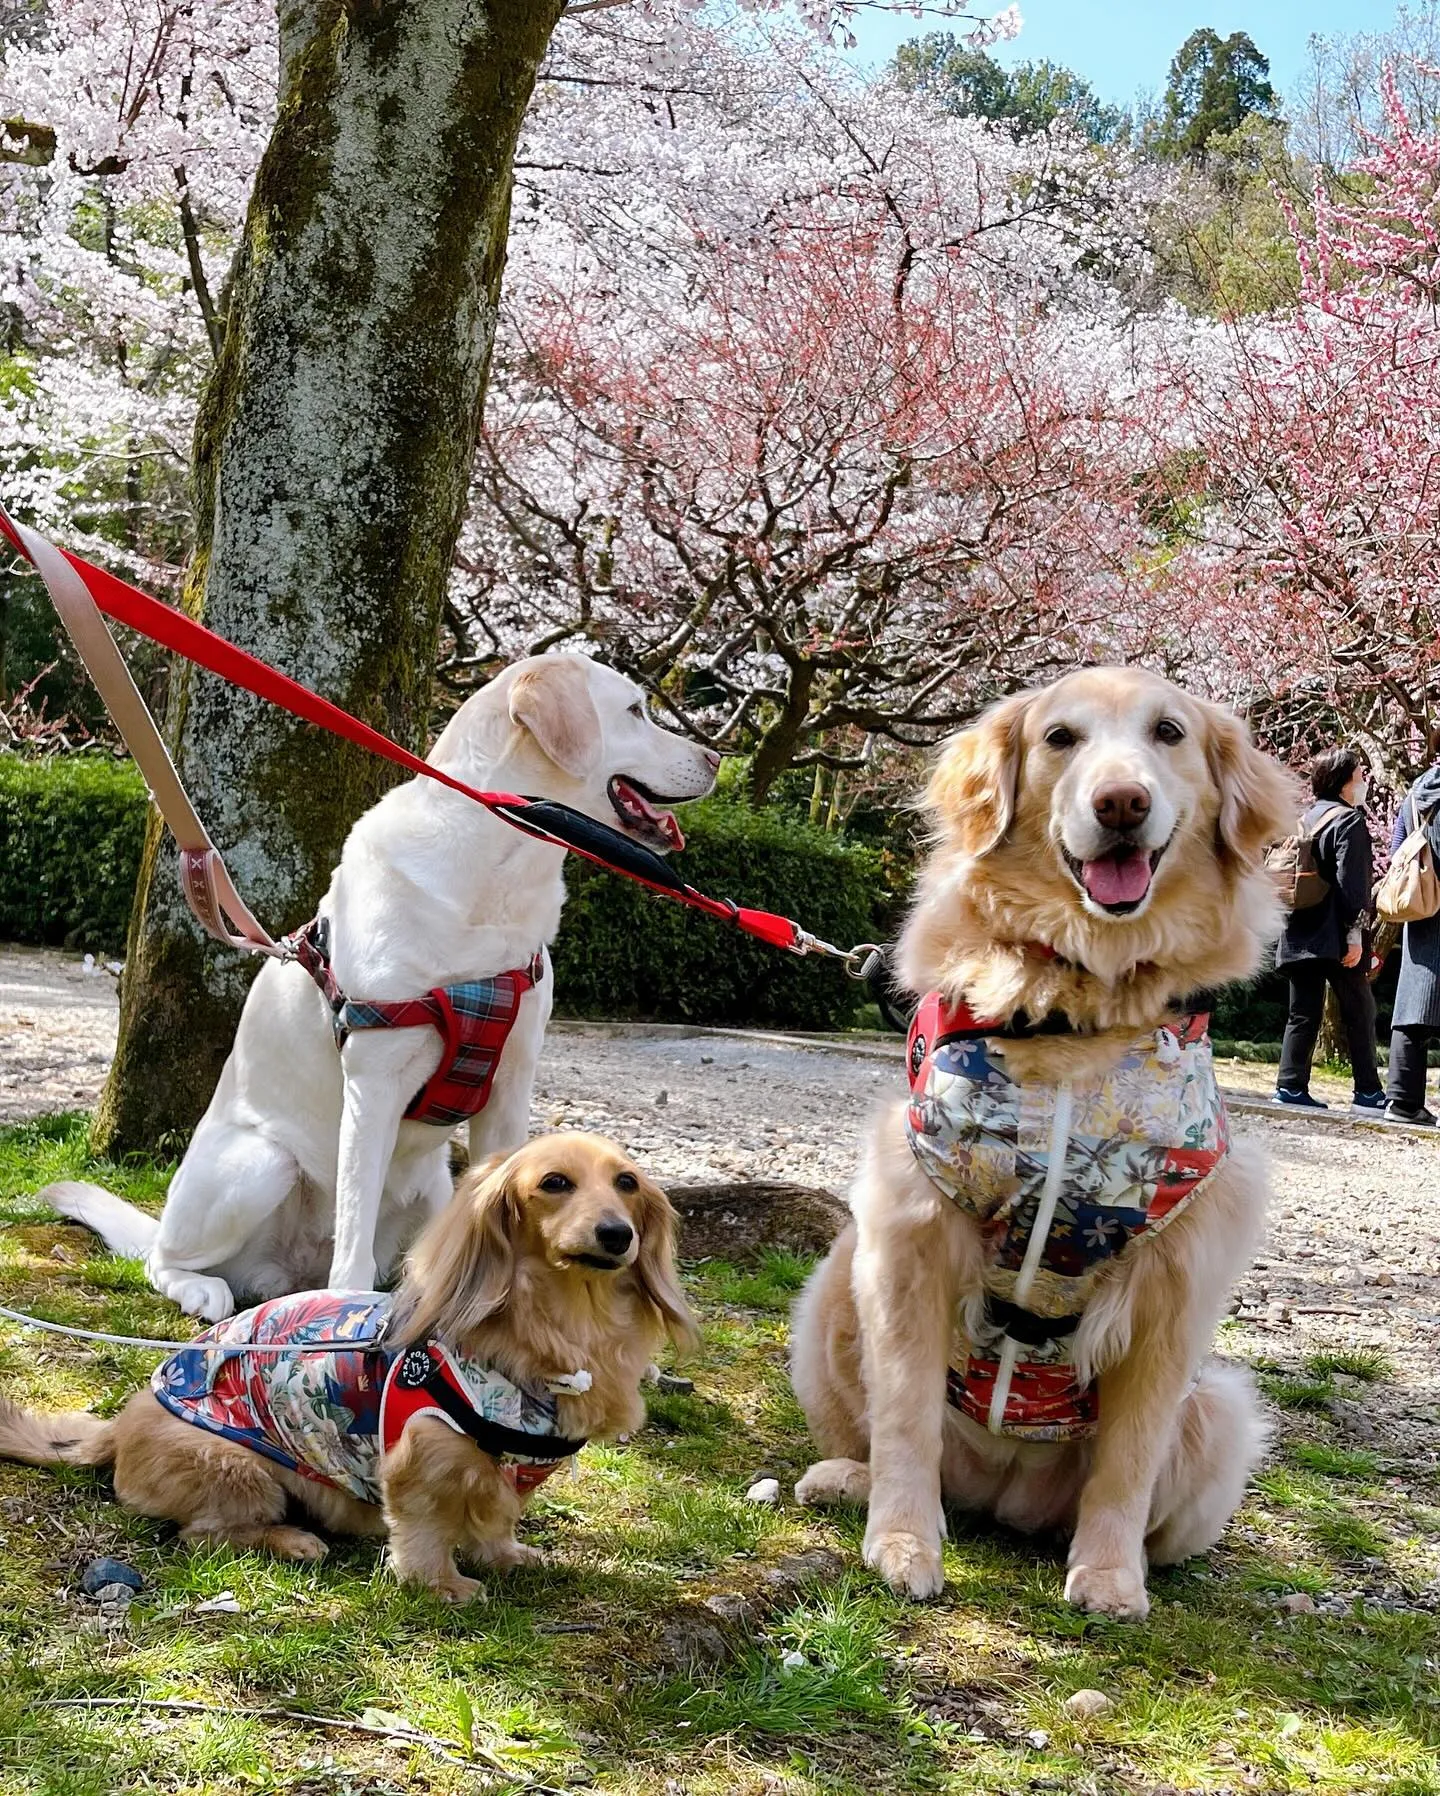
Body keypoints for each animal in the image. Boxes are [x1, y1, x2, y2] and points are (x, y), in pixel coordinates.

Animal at [0, 1135, 696, 1602]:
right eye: (555, 1183)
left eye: (627, 1184)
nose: (616, 1235)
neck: (561, 1331)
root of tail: (117, 1428)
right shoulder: (421, 1460)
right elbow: (425, 1531)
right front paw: (442, 1584)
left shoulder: (511, 1473)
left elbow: (496, 1519)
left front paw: (505, 1555)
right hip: (240, 1469)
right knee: (205, 1534)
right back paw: (295, 1541)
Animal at [47, 657, 714, 1321]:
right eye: (634, 710)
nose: (713, 757)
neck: (496, 874)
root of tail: (288, 1271)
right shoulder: (375, 1083)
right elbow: (355, 1225)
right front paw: (344, 1308)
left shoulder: (510, 1087)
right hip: (261, 1163)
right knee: (165, 1258)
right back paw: (206, 1288)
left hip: (434, 1184)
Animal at [786, 668, 1292, 1623]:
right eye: (1061, 738)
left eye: (1169, 733)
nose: (1122, 802)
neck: (1079, 1005)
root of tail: (1000, 1492)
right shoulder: (909, 1230)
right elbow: (904, 1420)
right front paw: (901, 1543)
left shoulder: (1178, 1281)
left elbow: (1128, 1462)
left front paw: (1110, 1577)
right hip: (832, 1287)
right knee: (887, 1443)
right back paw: (845, 1481)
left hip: (1221, 1409)